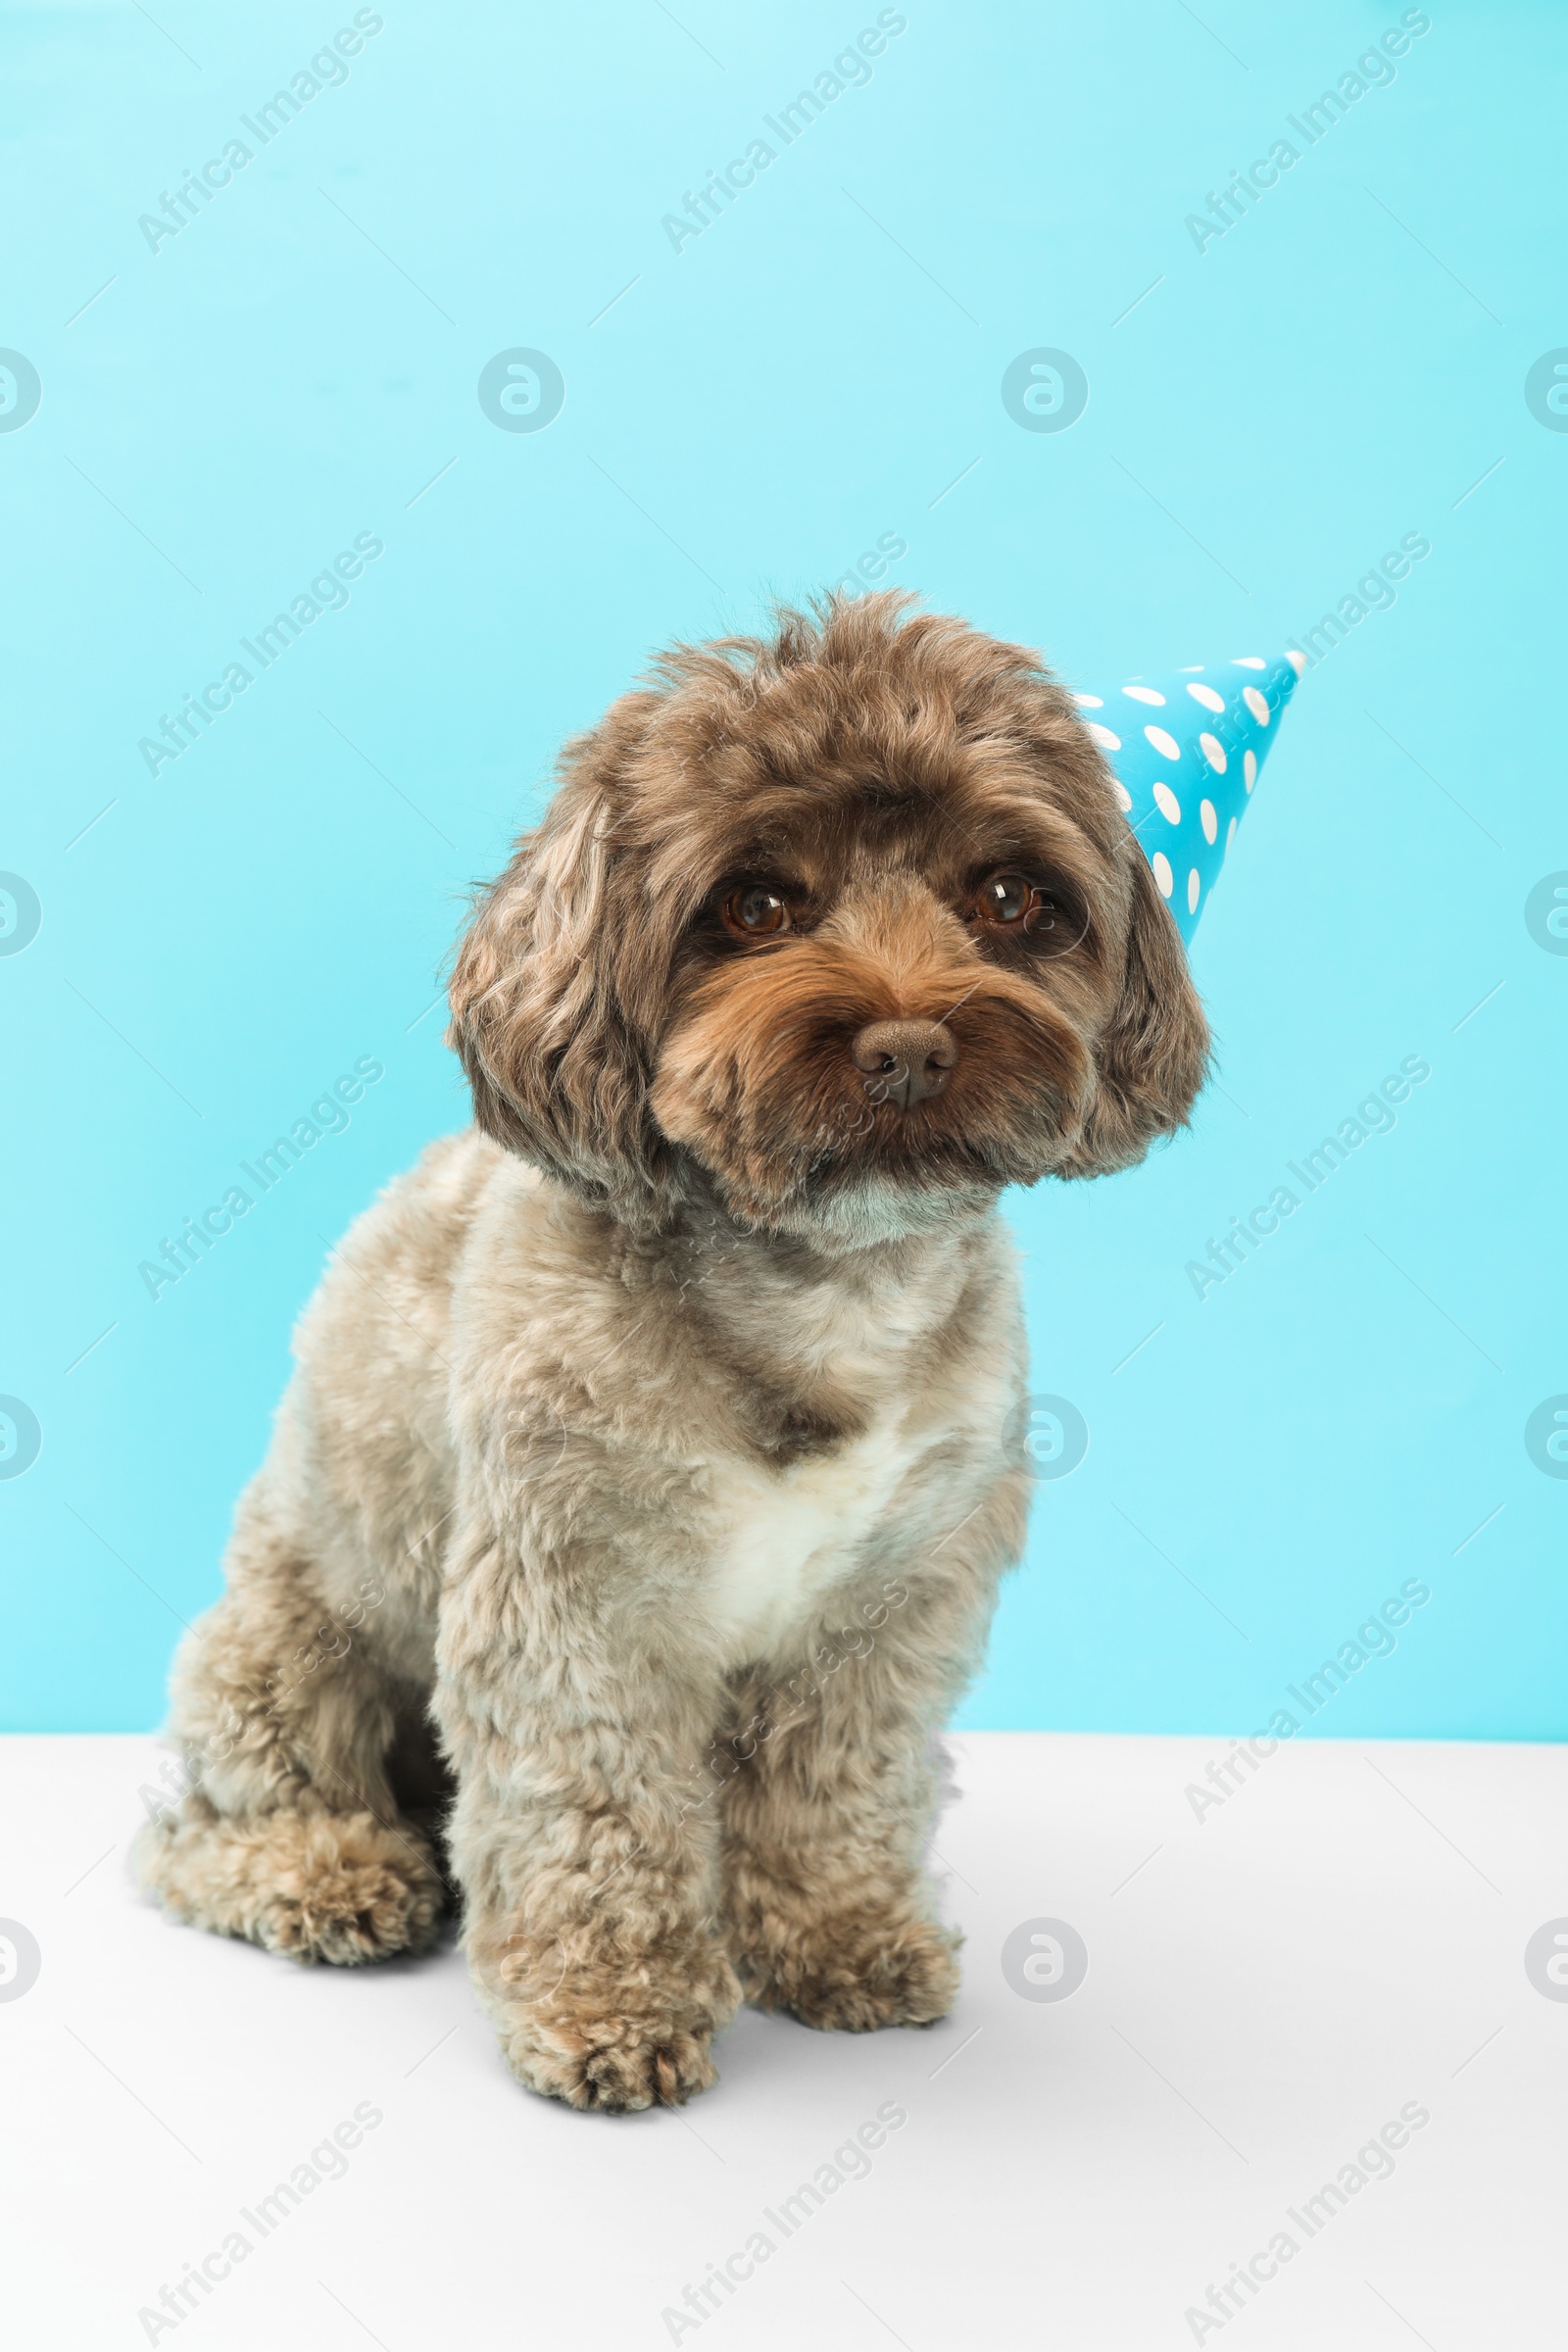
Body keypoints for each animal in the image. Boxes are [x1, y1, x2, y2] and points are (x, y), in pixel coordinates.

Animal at [137, 588, 1212, 2117]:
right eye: (754, 905)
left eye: (1011, 899)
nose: (906, 1047)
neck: (816, 1290)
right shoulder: (575, 1607)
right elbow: (594, 1818)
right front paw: (609, 2005)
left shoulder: (884, 1613)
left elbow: (835, 1791)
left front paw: (837, 1942)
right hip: (285, 1654)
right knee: (198, 1833)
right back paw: (332, 1875)